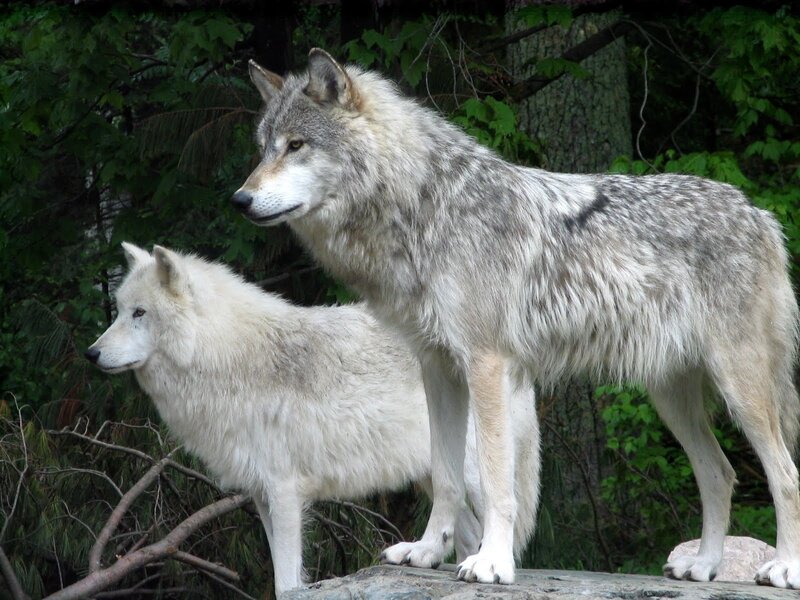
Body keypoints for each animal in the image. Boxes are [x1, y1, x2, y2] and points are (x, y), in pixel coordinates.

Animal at [84, 243, 539, 596]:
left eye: (140, 313)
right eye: (119, 310)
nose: (91, 353)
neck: (225, 357)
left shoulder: (285, 493)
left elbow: (287, 581)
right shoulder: (261, 495)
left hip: (476, 476)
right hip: (435, 477)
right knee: (462, 534)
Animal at [230, 49, 800, 588]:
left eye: (296, 145)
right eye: (262, 147)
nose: (240, 198)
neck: (426, 210)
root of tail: (758, 213)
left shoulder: (487, 365)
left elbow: (496, 482)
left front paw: (491, 563)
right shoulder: (438, 369)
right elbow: (446, 477)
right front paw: (427, 552)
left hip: (740, 389)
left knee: (785, 475)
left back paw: (783, 570)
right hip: (672, 397)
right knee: (720, 474)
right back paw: (703, 566)